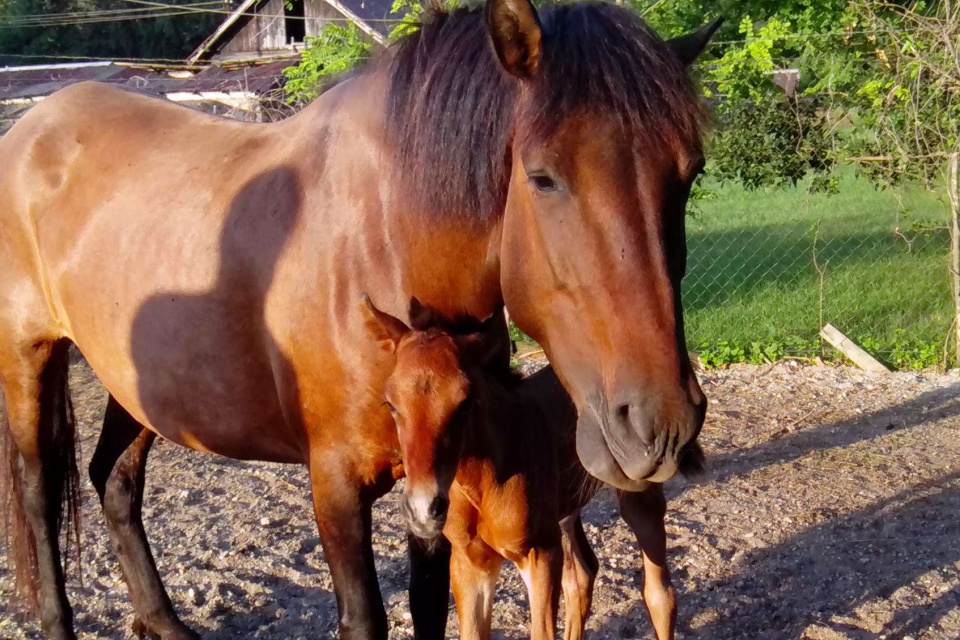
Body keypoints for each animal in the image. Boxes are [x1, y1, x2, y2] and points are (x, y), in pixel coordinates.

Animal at [364, 298, 700, 640]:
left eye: (466, 401)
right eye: (390, 403)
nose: (423, 508)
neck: (483, 483)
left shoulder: (540, 554)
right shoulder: (470, 562)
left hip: (637, 493)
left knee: (659, 595)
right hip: (565, 511)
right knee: (582, 575)